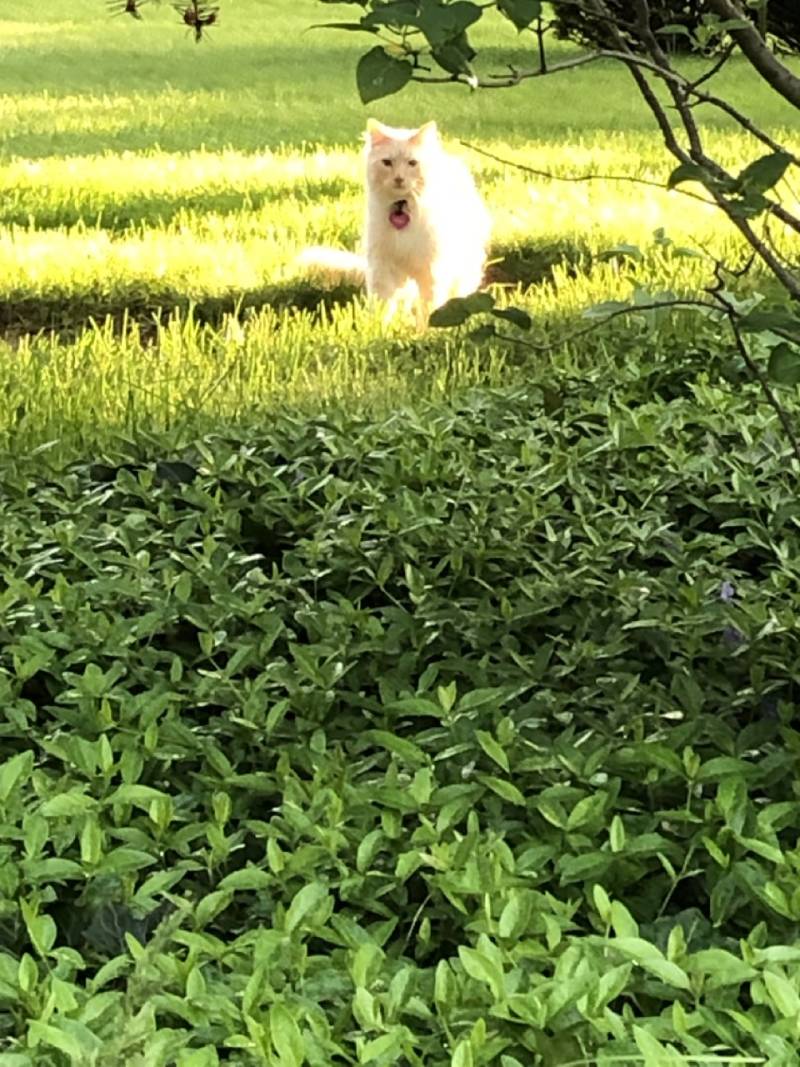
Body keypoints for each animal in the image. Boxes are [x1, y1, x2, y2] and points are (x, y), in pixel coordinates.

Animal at [300, 118, 488, 326]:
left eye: (412, 163)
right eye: (387, 162)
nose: (399, 178)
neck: (401, 208)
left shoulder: (431, 269)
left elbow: (429, 306)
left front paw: (426, 330)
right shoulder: (382, 265)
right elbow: (382, 304)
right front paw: (380, 328)